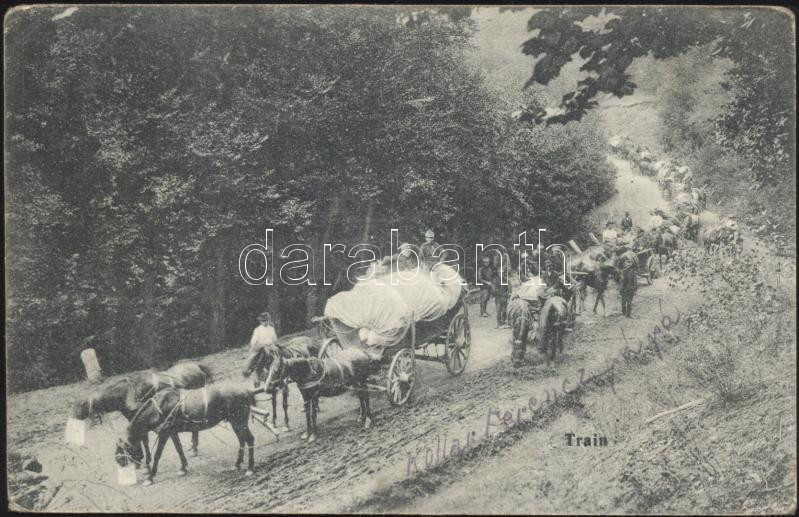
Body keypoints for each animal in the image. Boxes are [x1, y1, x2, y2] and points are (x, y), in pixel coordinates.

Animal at [72, 361, 212, 469]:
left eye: (80, 406)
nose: (73, 420)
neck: (127, 392)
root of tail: (196, 366)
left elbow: (144, 439)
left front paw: (144, 461)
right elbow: (143, 439)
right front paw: (143, 460)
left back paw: (194, 448)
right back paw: (193, 447)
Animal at [115, 382, 262, 485]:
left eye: (121, 453)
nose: (120, 464)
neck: (160, 407)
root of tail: (246, 390)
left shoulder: (164, 433)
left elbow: (158, 455)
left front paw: (150, 477)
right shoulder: (172, 432)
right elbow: (179, 449)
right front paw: (183, 468)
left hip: (239, 421)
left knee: (250, 439)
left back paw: (250, 468)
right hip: (234, 421)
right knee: (242, 440)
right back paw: (237, 464)